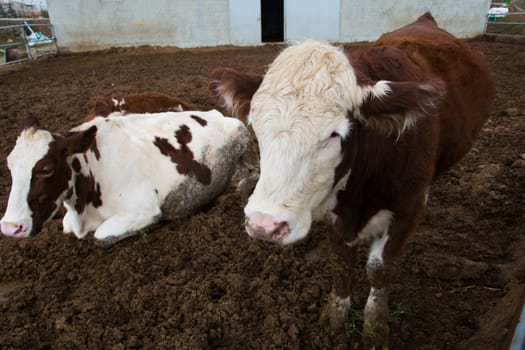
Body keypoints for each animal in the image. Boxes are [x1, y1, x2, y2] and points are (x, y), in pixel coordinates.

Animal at [0, 109, 250, 243]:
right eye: (10, 165)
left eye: (45, 169)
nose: (11, 227)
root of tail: (212, 112)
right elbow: (65, 225)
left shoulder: (144, 209)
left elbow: (101, 237)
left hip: (242, 133)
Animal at [208, 12, 492, 348]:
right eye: (256, 126)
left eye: (334, 133)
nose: (264, 225)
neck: (360, 193)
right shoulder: (336, 213)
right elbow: (341, 262)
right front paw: (336, 316)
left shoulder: (406, 212)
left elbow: (379, 270)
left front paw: (375, 326)